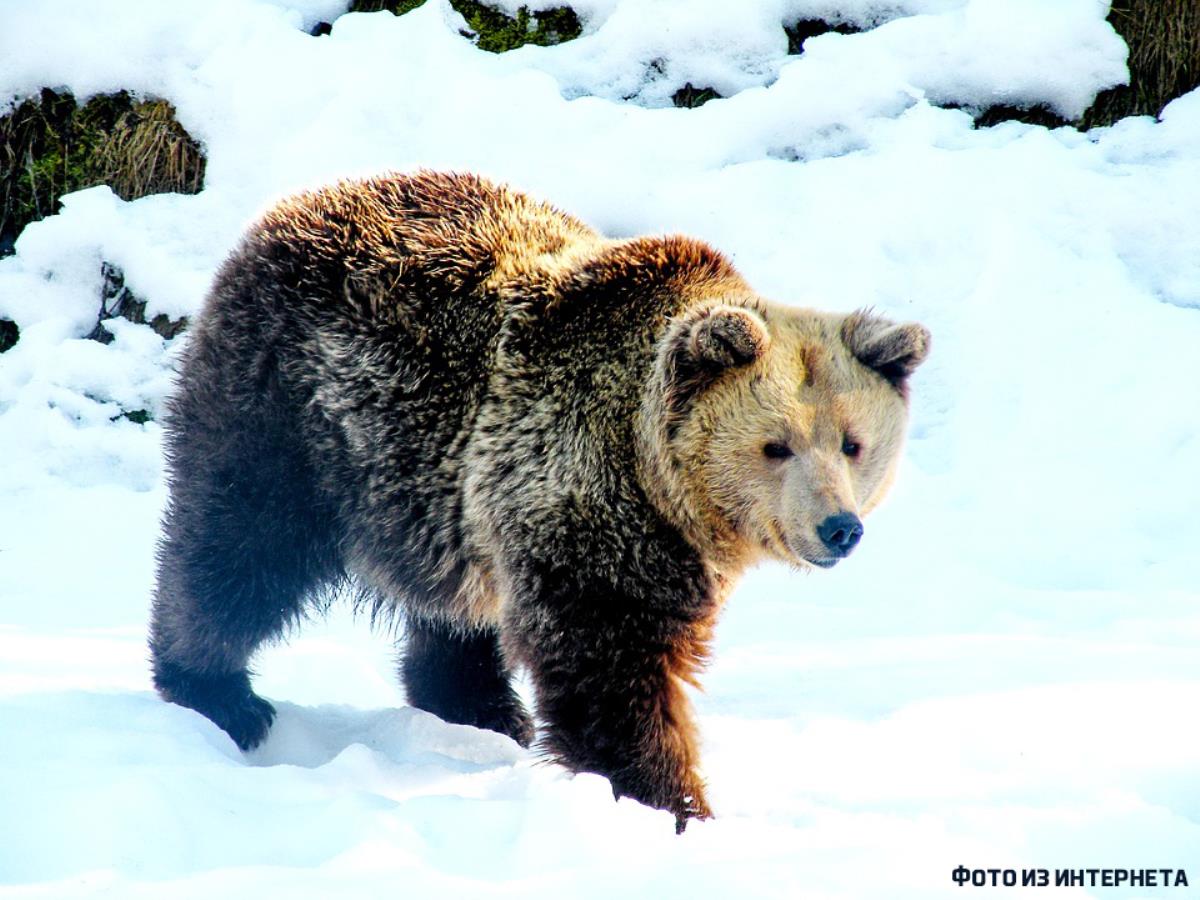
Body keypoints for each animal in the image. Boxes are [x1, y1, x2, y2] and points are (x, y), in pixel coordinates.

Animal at [150, 169, 931, 830]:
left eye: (853, 443)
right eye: (776, 445)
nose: (838, 527)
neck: (662, 485)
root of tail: (292, 205)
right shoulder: (587, 501)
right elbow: (610, 667)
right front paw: (672, 802)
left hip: (428, 487)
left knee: (453, 608)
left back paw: (482, 709)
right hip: (294, 417)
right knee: (239, 548)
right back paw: (218, 693)